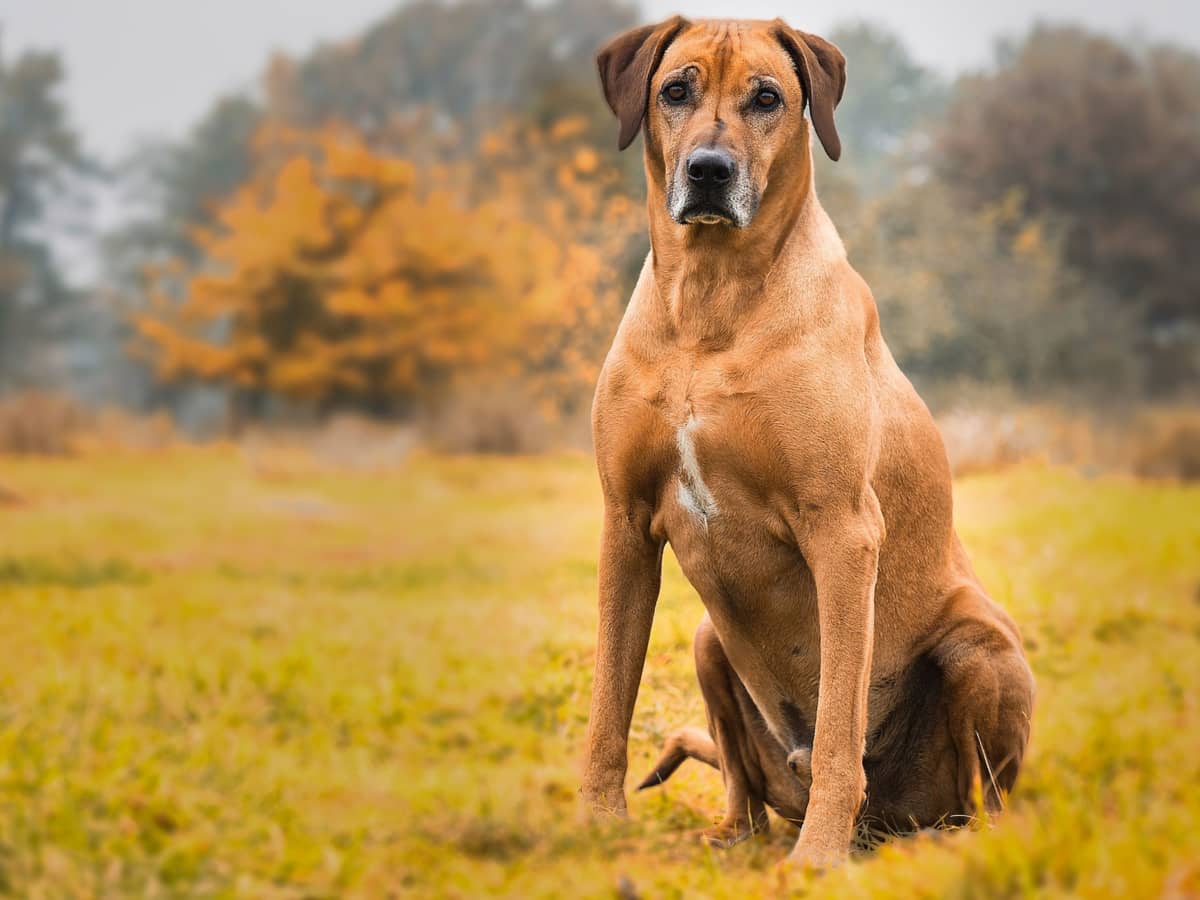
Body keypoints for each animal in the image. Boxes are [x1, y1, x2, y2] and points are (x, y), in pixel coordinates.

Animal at [580, 17, 1032, 868]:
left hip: (979, 649)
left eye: (767, 99)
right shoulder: (624, 522)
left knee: (981, 800)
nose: (710, 170)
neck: (712, 300)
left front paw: (818, 860)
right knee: (743, 786)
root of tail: (888, 824)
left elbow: (838, 729)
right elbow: (608, 703)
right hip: (708, 641)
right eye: (675, 90)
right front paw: (591, 827)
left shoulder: (844, 531)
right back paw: (731, 834)